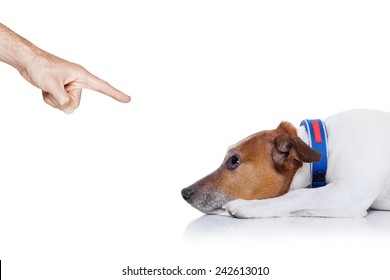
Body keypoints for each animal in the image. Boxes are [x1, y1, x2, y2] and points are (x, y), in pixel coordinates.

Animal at [181, 110, 390, 219]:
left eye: (234, 161)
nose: (184, 192)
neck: (327, 147)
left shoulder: (350, 194)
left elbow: (299, 194)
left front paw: (249, 207)